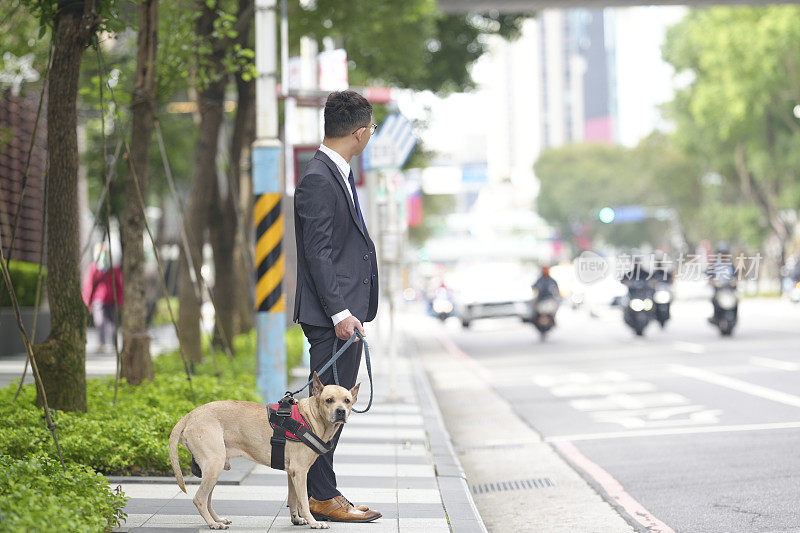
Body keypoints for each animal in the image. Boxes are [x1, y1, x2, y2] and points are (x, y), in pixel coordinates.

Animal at [170, 372, 360, 528]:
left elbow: (293, 499)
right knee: (200, 499)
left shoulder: (292, 473)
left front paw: (296, 519)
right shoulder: (300, 471)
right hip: (213, 465)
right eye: (329, 400)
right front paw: (313, 522)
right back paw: (213, 524)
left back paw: (217, 519)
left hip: (212, 470)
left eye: (347, 401)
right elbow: (304, 501)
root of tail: (191, 415)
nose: (341, 411)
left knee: (207, 499)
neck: (310, 418)